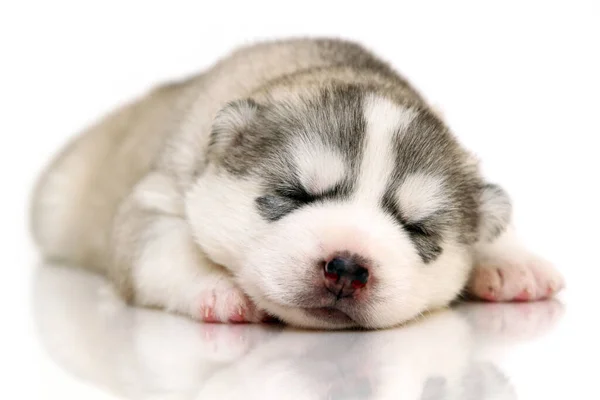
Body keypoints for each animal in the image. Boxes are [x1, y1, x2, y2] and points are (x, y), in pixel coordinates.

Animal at [30, 37, 564, 328]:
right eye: (293, 196)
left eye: (416, 230)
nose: (347, 267)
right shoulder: (156, 198)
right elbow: (162, 245)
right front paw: (218, 286)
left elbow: (492, 213)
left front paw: (511, 260)